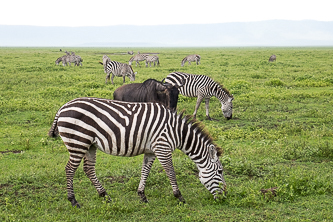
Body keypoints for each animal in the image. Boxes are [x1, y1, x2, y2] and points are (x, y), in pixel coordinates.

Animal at [48, 97, 227, 208]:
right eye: (220, 171)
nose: (225, 196)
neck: (177, 132)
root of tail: (62, 108)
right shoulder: (162, 148)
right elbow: (171, 172)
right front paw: (179, 197)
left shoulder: (151, 151)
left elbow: (145, 171)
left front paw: (142, 196)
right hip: (78, 141)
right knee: (70, 169)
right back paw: (73, 201)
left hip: (89, 144)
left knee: (88, 169)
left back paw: (105, 195)